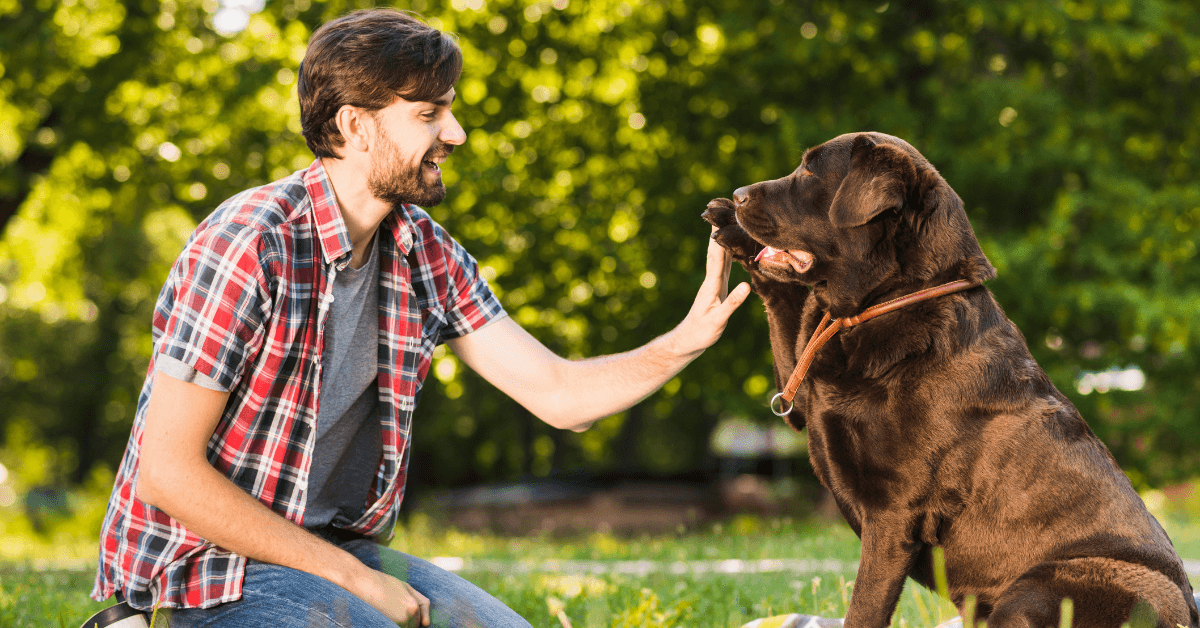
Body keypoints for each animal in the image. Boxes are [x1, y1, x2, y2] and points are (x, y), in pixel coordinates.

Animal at [700, 130, 1200, 624]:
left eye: (809, 171)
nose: (739, 194)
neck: (894, 299)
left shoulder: (894, 513)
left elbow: (863, 609)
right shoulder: (805, 394)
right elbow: (783, 302)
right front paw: (730, 226)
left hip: (1044, 585)